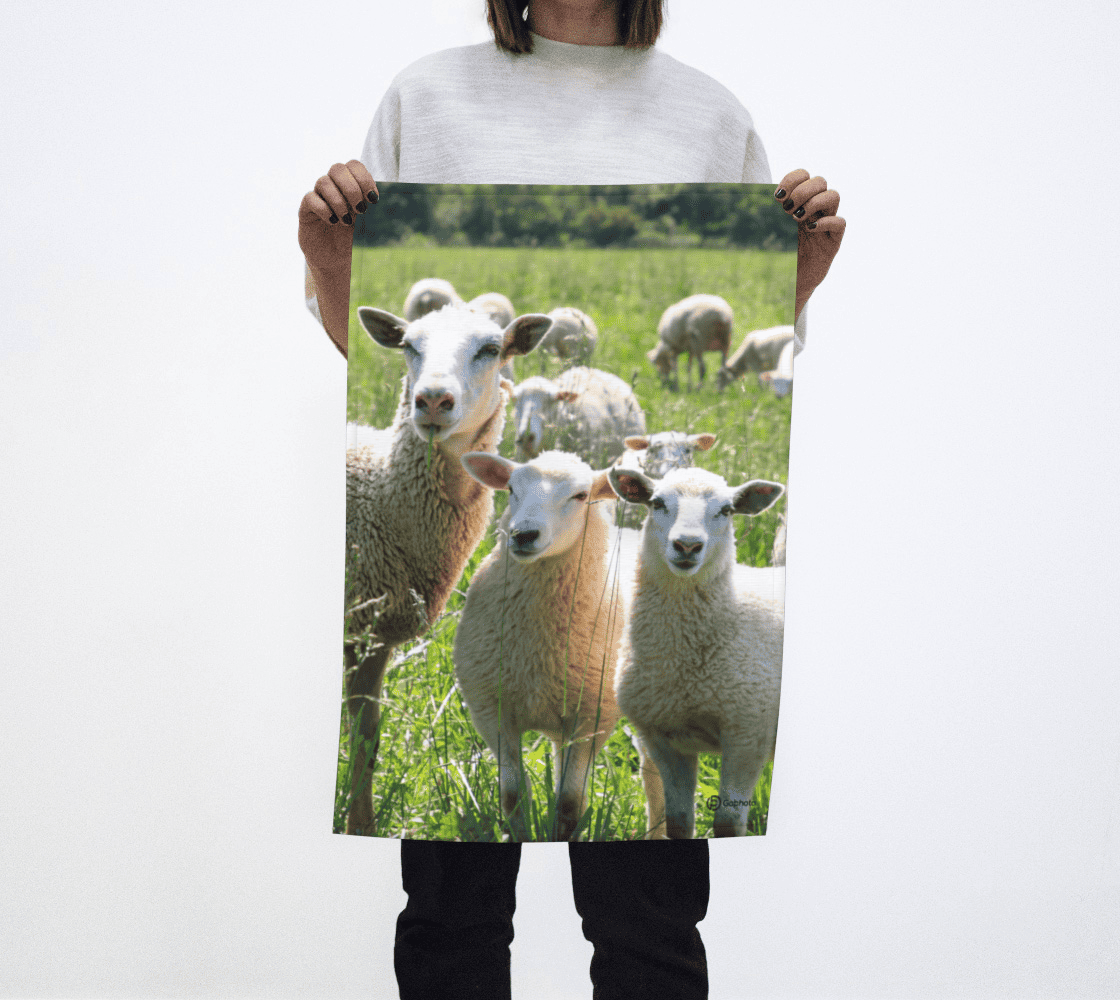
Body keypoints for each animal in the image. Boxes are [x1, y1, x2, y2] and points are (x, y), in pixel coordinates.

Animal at [343, 302, 553, 835]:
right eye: (409, 345)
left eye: (491, 349)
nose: (433, 400)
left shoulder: (373, 636)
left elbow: (366, 742)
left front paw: (361, 826)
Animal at [452, 450, 631, 840]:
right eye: (511, 489)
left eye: (581, 496)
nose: (523, 534)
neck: (538, 650)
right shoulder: (492, 710)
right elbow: (513, 796)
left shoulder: (589, 718)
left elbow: (569, 803)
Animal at [607, 465, 786, 839]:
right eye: (657, 503)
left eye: (727, 510)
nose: (687, 545)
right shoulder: (662, 739)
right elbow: (677, 822)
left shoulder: (748, 734)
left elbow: (728, 824)